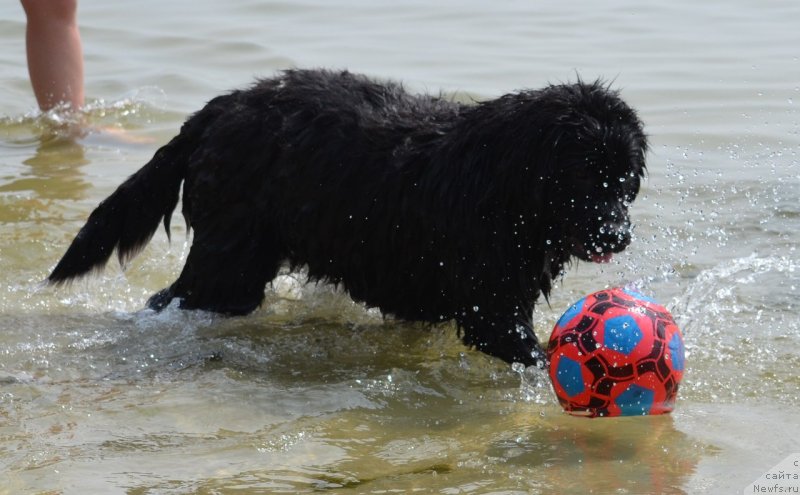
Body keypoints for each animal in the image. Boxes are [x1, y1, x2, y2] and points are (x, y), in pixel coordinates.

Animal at [48, 68, 648, 366]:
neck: (507, 185)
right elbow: (530, 350)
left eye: (624, 181)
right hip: (229, 263)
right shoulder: (492, 303)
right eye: (584, 177)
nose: (618, 235)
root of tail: (217, 111)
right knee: (174, 298)